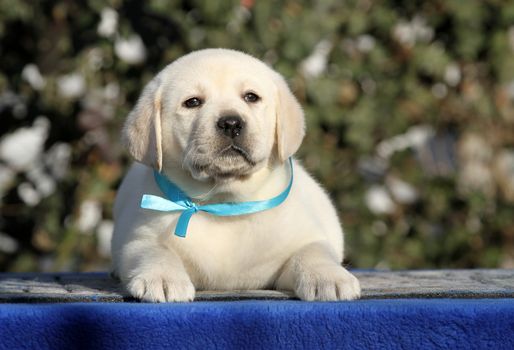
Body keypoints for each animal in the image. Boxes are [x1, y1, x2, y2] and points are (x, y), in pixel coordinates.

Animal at [112, 47, 360, 302]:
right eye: (192, 102)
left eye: (251, 97)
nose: (231, 123)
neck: (225, 202)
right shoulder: (139, 238)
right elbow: (153, 250)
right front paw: (162, 278)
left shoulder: (304, 237)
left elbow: (313, 251)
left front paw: (328, 277)